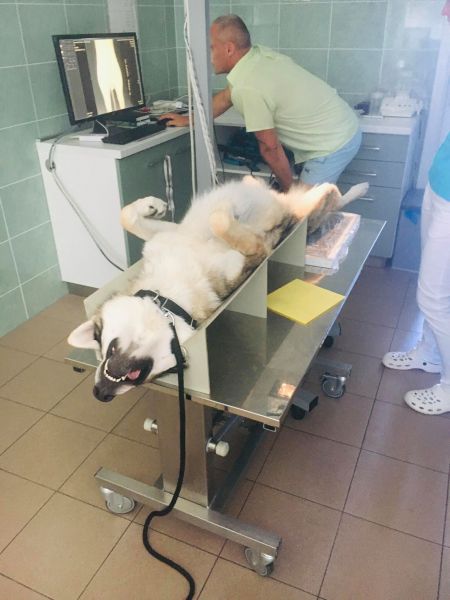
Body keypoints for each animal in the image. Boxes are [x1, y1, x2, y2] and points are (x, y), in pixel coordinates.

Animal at [68, 176, 368, 401]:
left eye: (97, 340)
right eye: (161, 376)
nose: (99, 394)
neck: (168, 299)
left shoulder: (169, 235)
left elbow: (127, 216)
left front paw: (152, 205)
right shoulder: (252, 257)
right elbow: (221, 222)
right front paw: (224, 211)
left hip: (299, 206)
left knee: (329, 193)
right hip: (306, 207)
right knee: (330, 194)